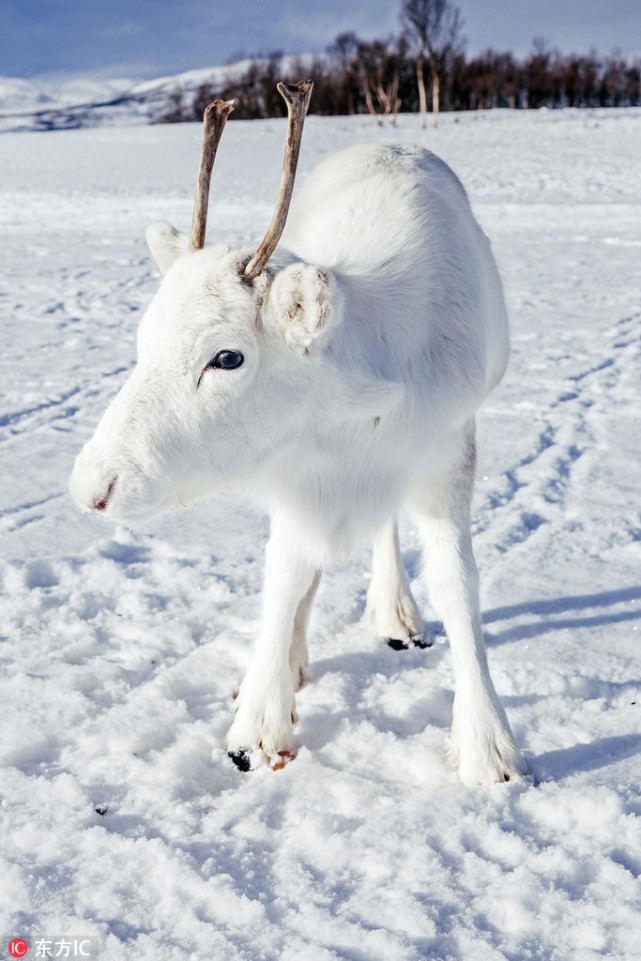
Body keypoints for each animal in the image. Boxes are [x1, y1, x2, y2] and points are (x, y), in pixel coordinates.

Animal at [69, 80, 524, 788]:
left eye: (227, 357)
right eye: (144, 339)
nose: (93, 487)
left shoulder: (448, 448)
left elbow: (457, 584)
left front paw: (488, 745)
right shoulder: (292, 471)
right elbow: (285, 577)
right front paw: (259, 722)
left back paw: (394, 611)